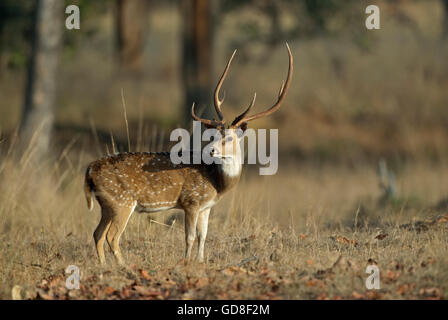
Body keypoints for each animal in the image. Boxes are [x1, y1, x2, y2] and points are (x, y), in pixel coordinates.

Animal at [84, 43, 294, 264]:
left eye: (229, 138)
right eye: (213, 135)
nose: (211, 150)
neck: (216, 182)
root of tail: (90, 170)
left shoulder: (206, 206)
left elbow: (203, 235)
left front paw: (200, 261)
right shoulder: (191, 200)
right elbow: (190, 236)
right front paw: (186, 261)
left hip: (107, 204)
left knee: (97, 234)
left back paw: (104, 266)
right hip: (121, 201)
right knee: (112, 236)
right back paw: (124, 266)